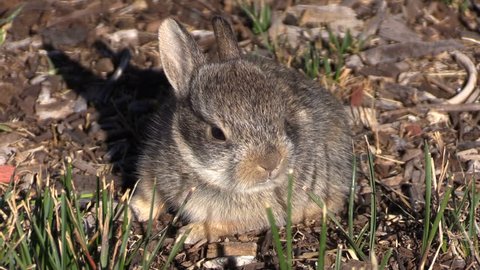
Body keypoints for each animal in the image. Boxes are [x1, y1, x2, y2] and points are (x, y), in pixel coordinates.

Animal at [130, 16, 352, 245]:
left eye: (284, 122)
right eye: (217, 133)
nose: (271, 163)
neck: (203, 171)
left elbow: (222, 225)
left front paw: (191, 232)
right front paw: (139, 209)